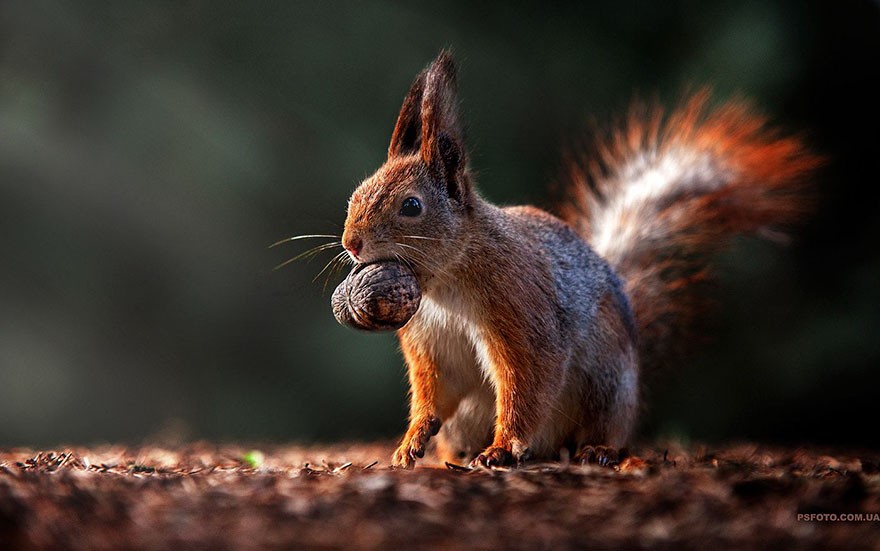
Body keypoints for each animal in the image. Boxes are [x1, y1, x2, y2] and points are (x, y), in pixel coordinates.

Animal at [338, 49, 820, 468]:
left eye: (412, 206)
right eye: (356, 193)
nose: (351, 243)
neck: (445, 282)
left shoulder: (523, 312)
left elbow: (527, 383)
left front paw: (502, 448)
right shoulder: (430, 342)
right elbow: (435, 392)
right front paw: (411, 440)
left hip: (605, 381)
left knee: (600, 430)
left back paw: (595, 450)